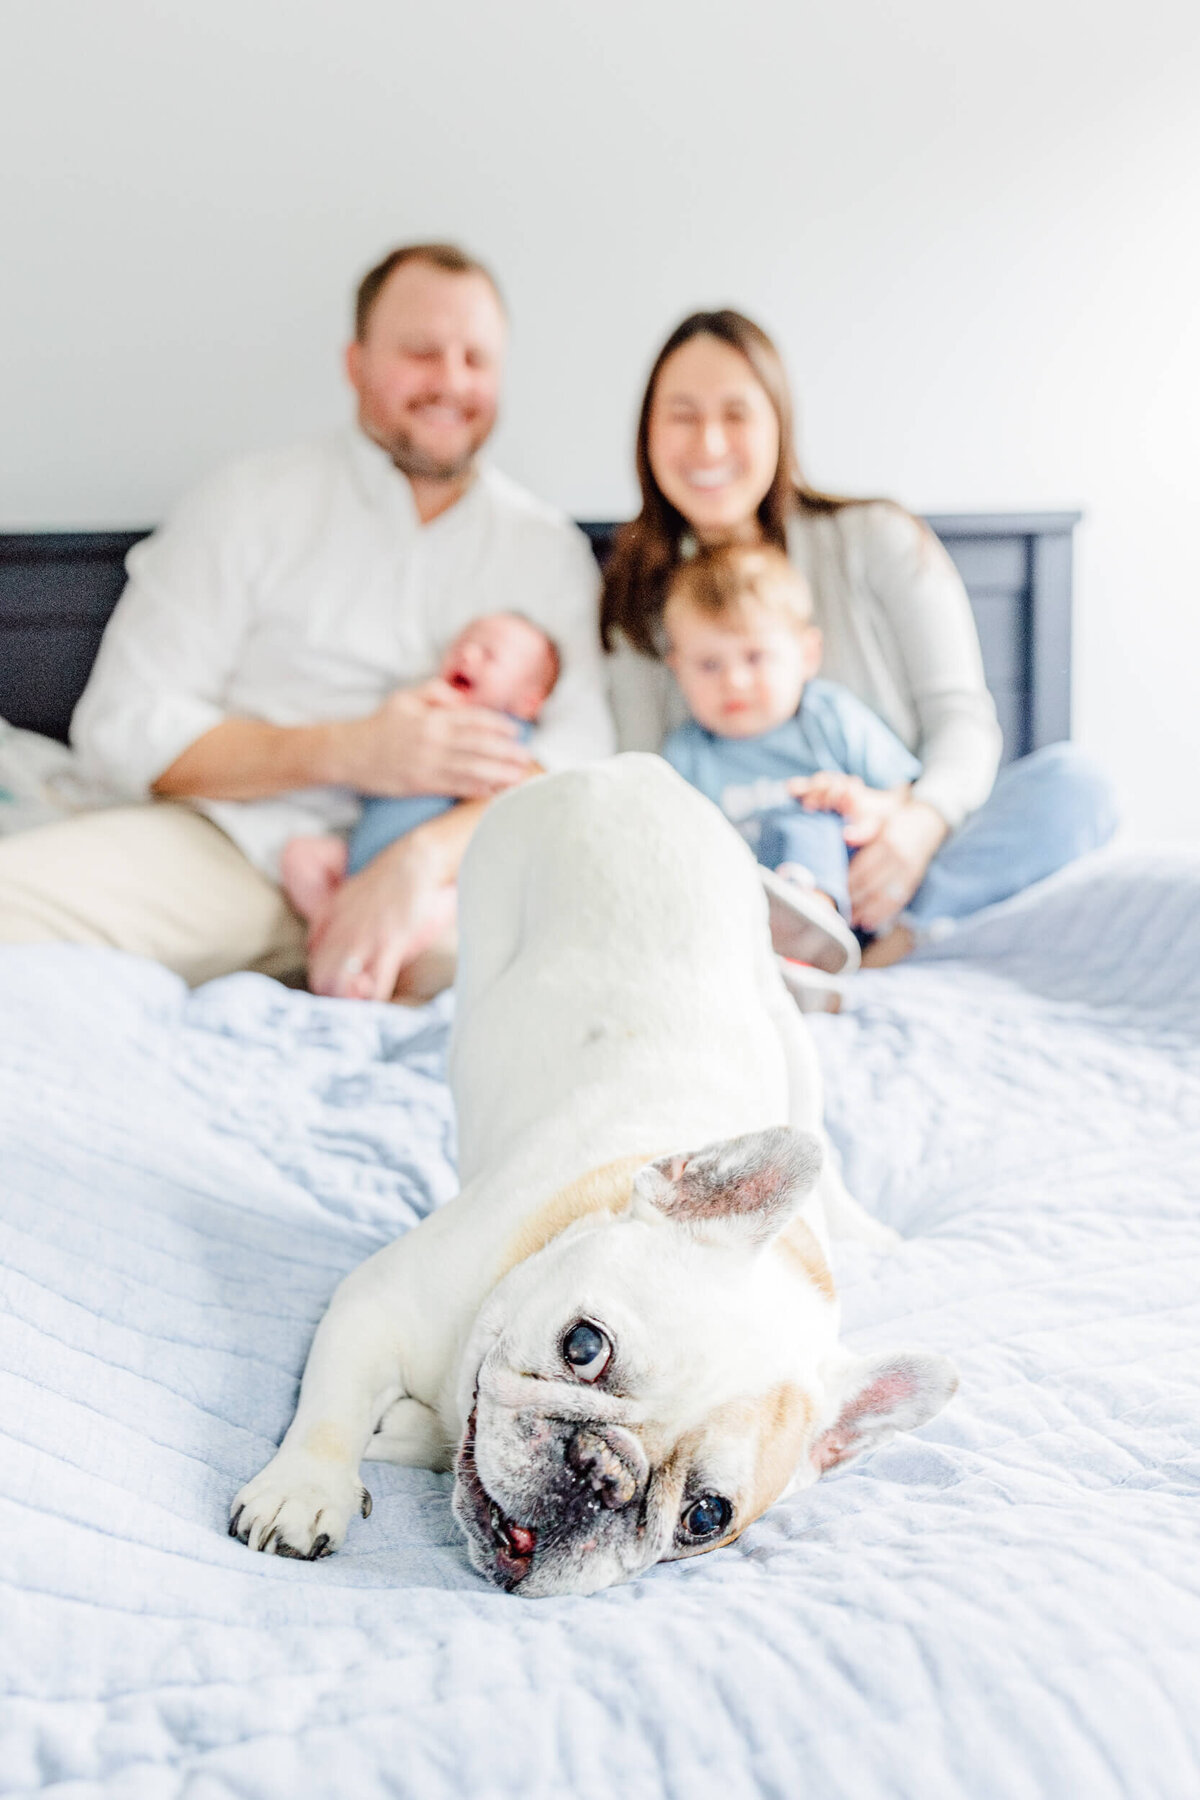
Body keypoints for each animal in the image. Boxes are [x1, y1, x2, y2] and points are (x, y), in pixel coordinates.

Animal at [227, 752, 957, 1598]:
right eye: (583, 1346)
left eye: (704, 1518)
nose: (605, 1473)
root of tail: (618, 766)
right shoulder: (373, 1307)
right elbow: (331, 1409)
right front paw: (303, 1489)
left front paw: (406, 1432)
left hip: (783, 1018)